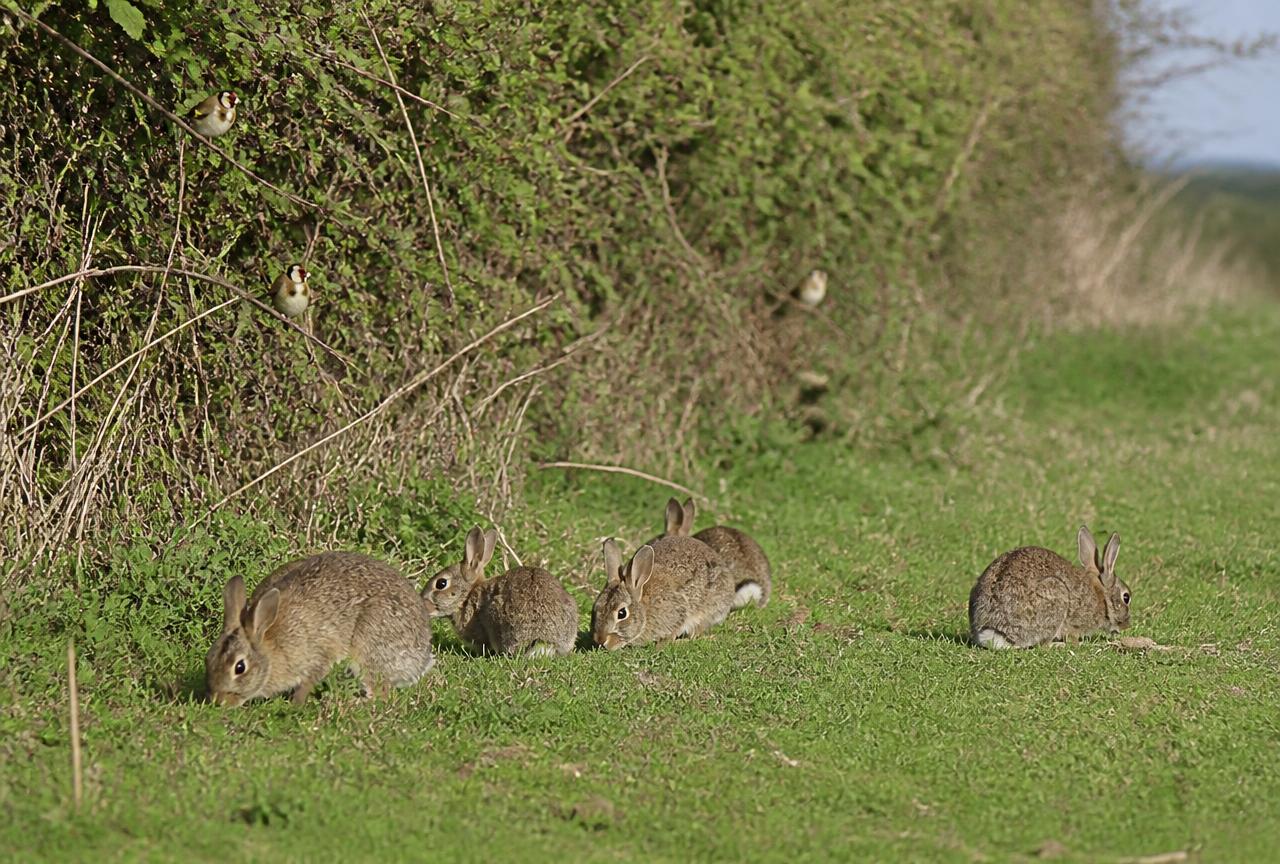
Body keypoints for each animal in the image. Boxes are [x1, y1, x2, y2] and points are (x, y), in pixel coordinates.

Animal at [206, 552, 434, 706]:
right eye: (209, 658)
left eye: (240, 667)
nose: (217, 701)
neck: (270, 647)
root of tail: (422, 654)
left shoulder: (318, 655)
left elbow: (310, 680)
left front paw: (296, 704)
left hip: (369, 647)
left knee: (381, 692)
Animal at [591, 534, 735, 650]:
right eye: (595, 608)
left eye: (622, 613)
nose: (601, 640)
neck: (645, 608)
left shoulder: (678, 612)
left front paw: (661, 645)